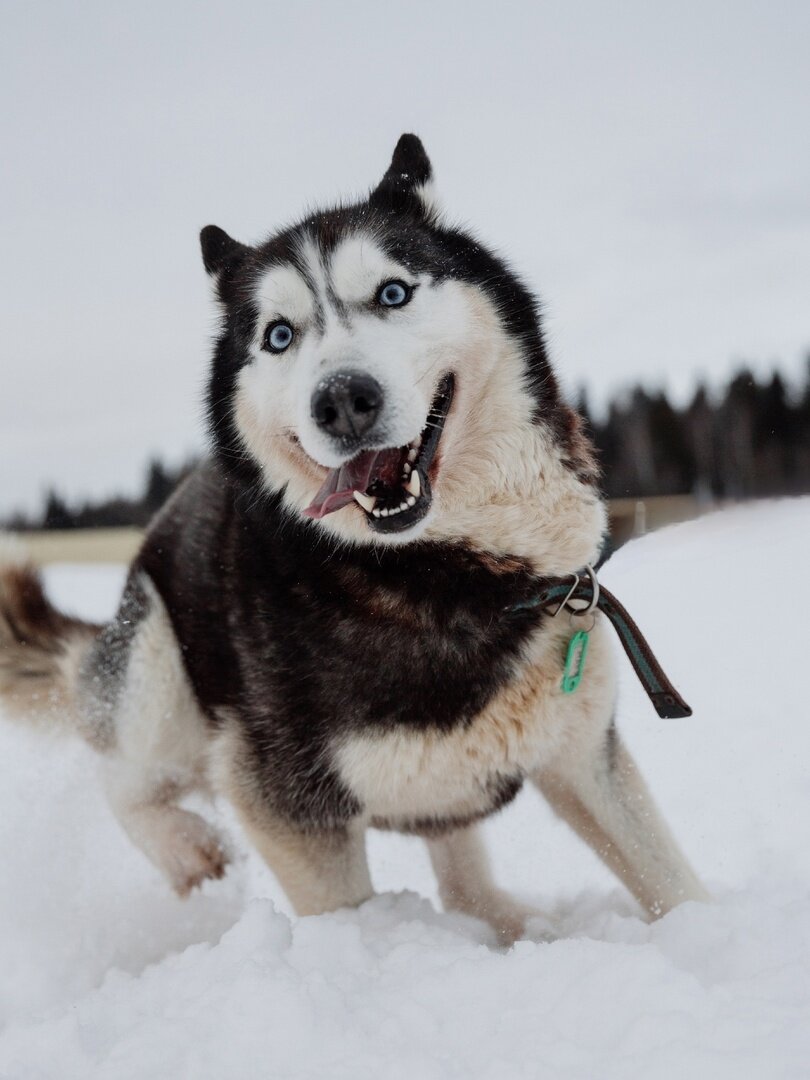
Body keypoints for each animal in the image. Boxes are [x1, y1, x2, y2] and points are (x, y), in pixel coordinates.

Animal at [0, 137, 708, 946]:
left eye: (392, 293)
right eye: (278, 335)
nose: (341, 399)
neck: (457, 572)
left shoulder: (583, 758)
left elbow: (672, 883)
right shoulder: (287, 801)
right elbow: (343, 925)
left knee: (461, 884)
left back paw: (513, 924)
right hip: (158, 670)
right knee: (124, 779)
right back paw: (189, 851)